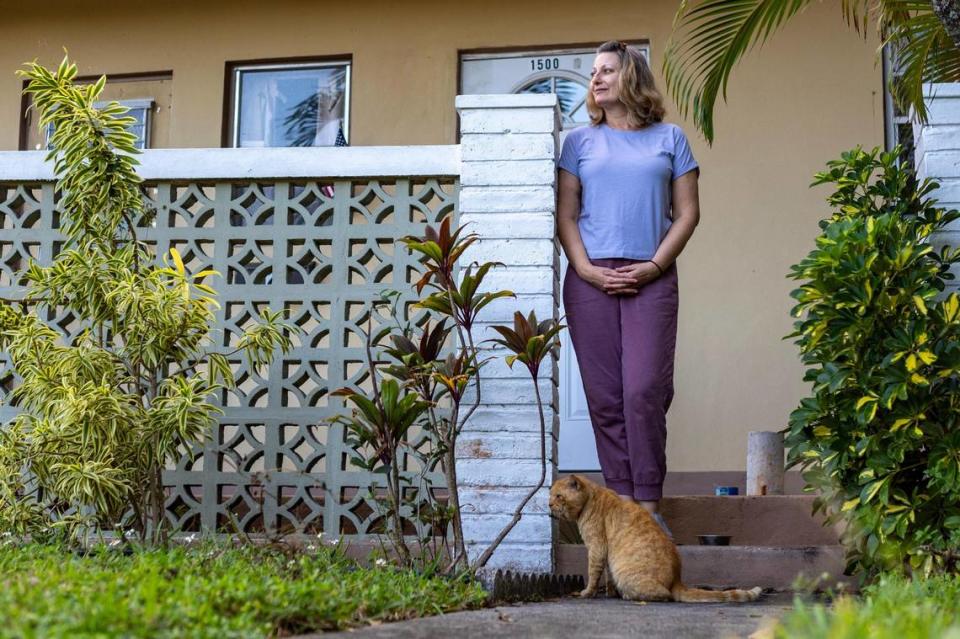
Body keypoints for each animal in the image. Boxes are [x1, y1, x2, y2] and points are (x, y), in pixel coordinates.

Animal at [548, 476, 764, 604]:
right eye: (550, 496)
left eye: (558, 496)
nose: (549, 504)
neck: (591, 498)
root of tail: (677, 579)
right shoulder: (606, 555)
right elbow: (607, 576)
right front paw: (610, 592)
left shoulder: (596, 549)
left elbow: (593, 574)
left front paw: (587, 593)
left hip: (626, 574)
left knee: (665, 596)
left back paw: (628, 595)